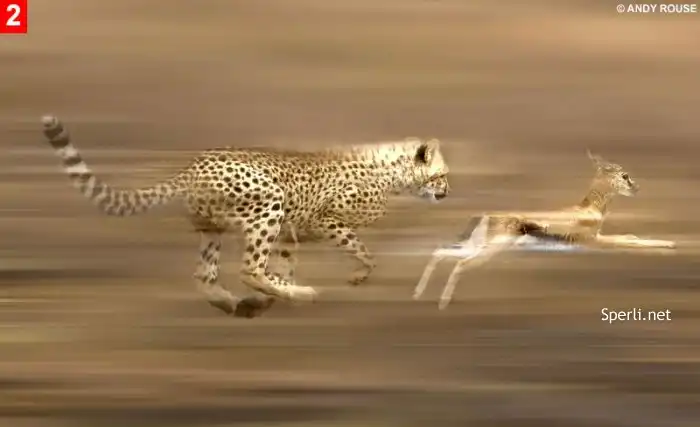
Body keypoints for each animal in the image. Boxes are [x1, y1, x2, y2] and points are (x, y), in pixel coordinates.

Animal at [41, 115, 450, 318]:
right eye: (442, 175)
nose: (447, 193)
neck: (391, 171)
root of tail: (192, 166)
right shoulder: (323, 220)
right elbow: (361, 250)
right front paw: (358, 275)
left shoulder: (288, 235)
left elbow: (282, 268)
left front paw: (267, 299)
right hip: (269, 204)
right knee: (249, 269)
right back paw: (296, 294)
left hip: (214, 228)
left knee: (206, 274)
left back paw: (232, 303)